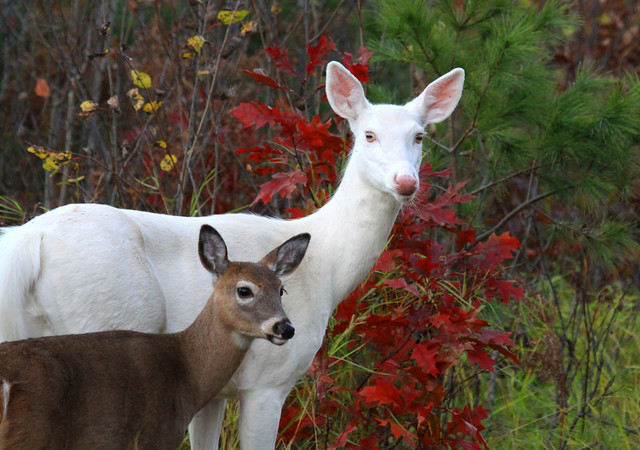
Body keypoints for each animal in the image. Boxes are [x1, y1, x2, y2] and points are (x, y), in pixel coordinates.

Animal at [0, 225, 309, 449]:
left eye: (281, 289)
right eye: (244, 290)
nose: (285, 327)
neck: (186, 373)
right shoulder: (157, 434)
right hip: (31, 433)